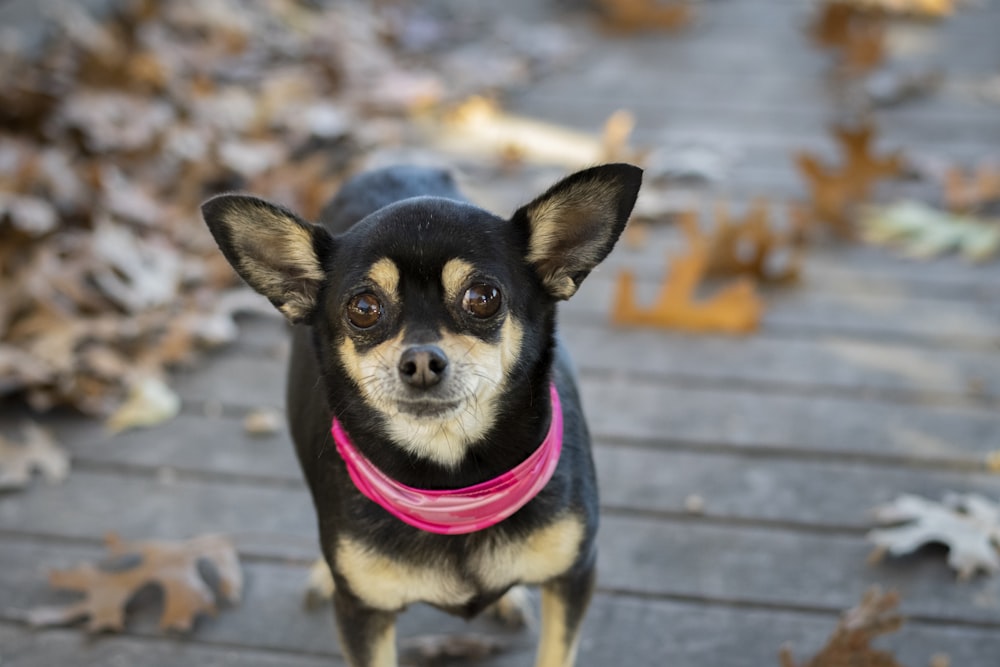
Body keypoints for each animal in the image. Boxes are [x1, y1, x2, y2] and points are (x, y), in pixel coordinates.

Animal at [199, 163, 644, 667]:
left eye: (483, 297)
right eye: (363, 308)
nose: (422, 362)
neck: (453, 489)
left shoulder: (573, 578)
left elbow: (554, 654)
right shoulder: (361, 616)